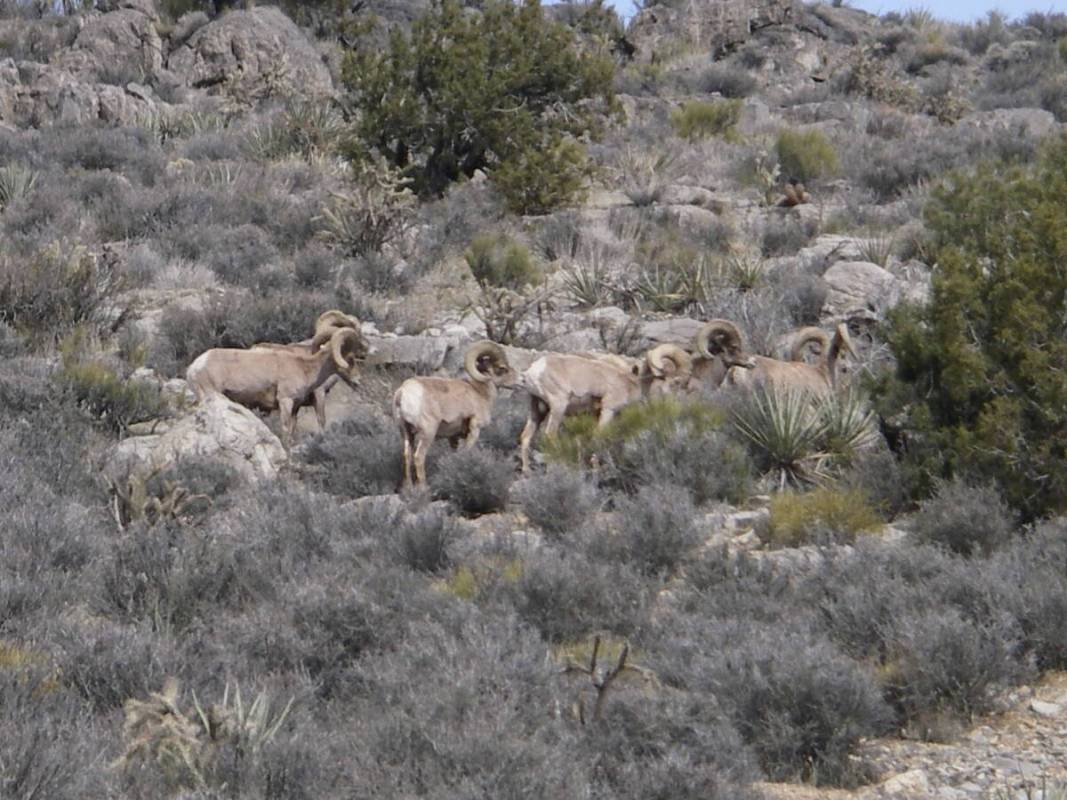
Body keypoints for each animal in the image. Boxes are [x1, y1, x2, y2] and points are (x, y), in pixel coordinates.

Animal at [184, 326, 367, 452]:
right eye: (350, 357)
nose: (358, 380)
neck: (305, 368)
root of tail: (195, 366)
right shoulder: (285, 401)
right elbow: (285, 429)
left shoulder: (295, 407)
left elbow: (292, 430)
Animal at [396, 339, 520, 488]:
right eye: (502, 368)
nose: (521, 380)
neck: (480, 393)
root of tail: (404, 392)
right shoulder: (474, 430)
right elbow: (466, 452)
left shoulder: (453, 437)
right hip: (427, 432)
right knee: (419, 457)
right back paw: (424, 487)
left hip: (406, 432)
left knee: (407, 455)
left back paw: (408, 486)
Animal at [520, 341, 695, 473]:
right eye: (677, 382)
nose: (676, 403)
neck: (632, 383)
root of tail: (533, 371)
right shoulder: (608, 411)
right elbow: (599, 438)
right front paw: (597, 469)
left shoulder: (597, 415)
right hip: (558, 407)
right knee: (550, 435)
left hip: (537, 410)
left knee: (526, 437)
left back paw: (527, 472)